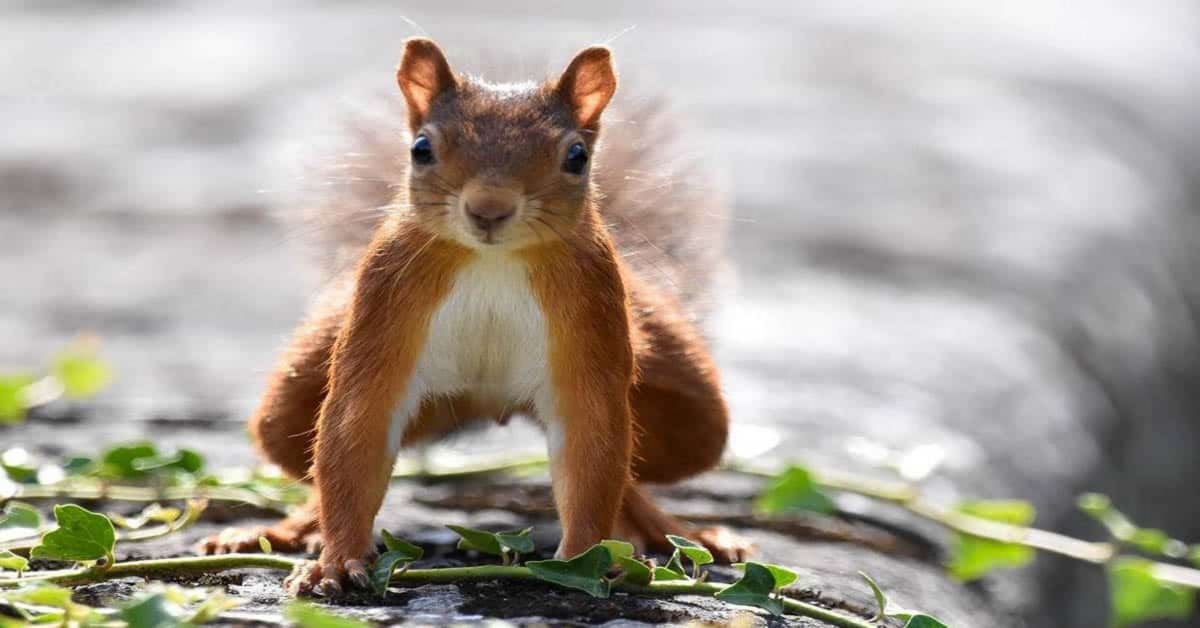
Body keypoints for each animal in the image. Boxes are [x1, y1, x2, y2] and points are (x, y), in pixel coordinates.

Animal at [202, 36, 753, 597]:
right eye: (421, 149)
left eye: (577, 157)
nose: (490, 208)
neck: (492, 260)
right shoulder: (381, 308)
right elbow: (354, 429)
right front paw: (336, 561)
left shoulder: (593, 324)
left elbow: (593, 446)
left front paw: (584, 558)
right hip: (294, 394)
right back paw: (283, 530)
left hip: (692, 413)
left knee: (634, 470)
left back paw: (675, 532)